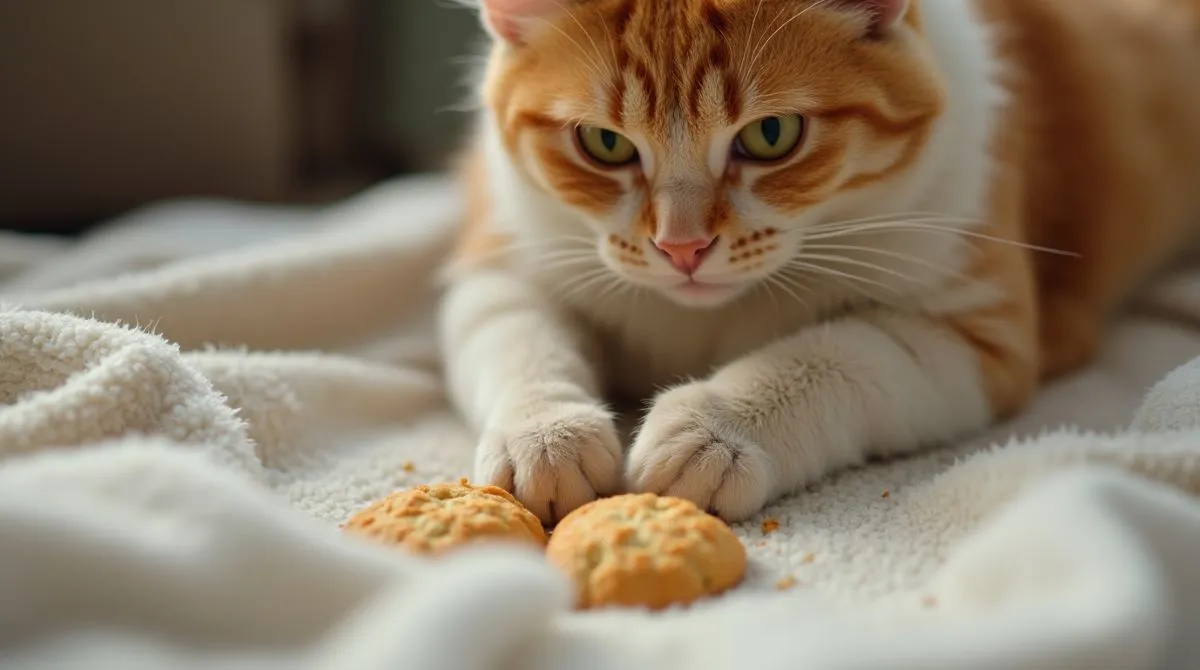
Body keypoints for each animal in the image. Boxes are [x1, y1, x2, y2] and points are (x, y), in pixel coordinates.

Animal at [436, 0, 1200, 525]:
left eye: (772, 135)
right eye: (604, 143)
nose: (682, 248)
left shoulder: (978, 338)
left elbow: (835, 358)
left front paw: (712, 431)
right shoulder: (499, 259)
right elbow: (517, 338)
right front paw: (545, 436)